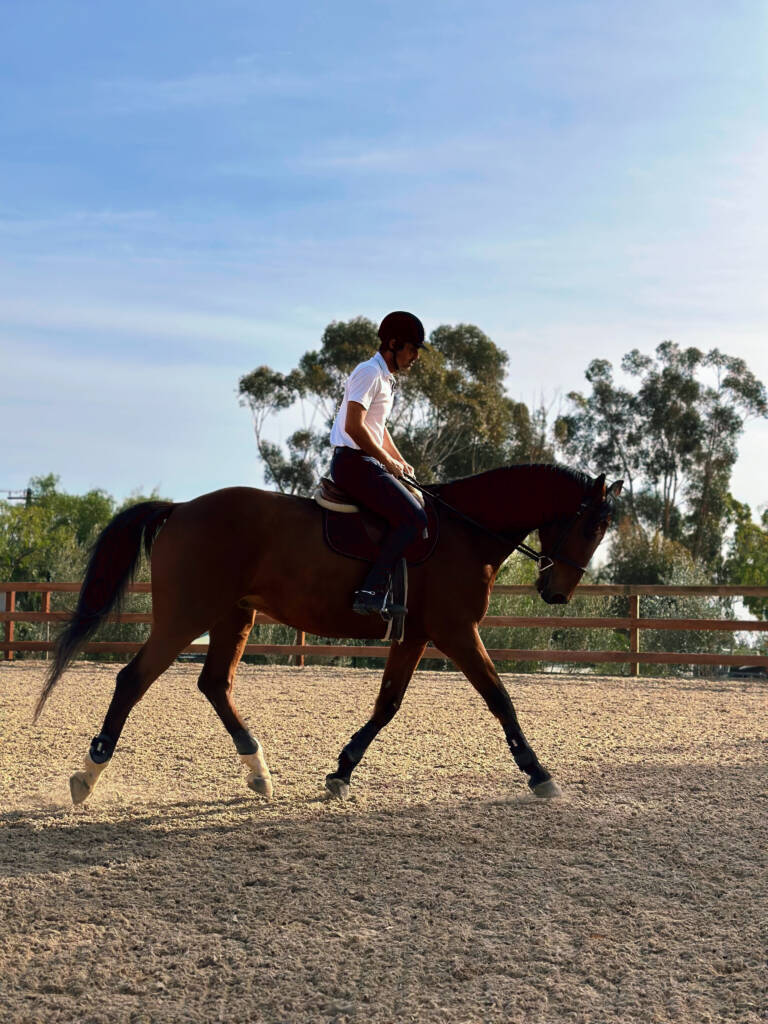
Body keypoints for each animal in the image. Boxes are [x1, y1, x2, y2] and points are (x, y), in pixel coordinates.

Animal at [36, 464, 622, 806]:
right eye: (593, 526)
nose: (557, 593)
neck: (466, 530)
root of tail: (181, 508)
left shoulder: (415, 636)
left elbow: (387, 705)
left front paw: (342, 771)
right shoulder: (456, 632)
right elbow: (500, 699)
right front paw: (539, 773)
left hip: (233, 616)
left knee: (214, 684)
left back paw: (258, 772)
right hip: (187, 615)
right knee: (132, 680)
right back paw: (87, 776)